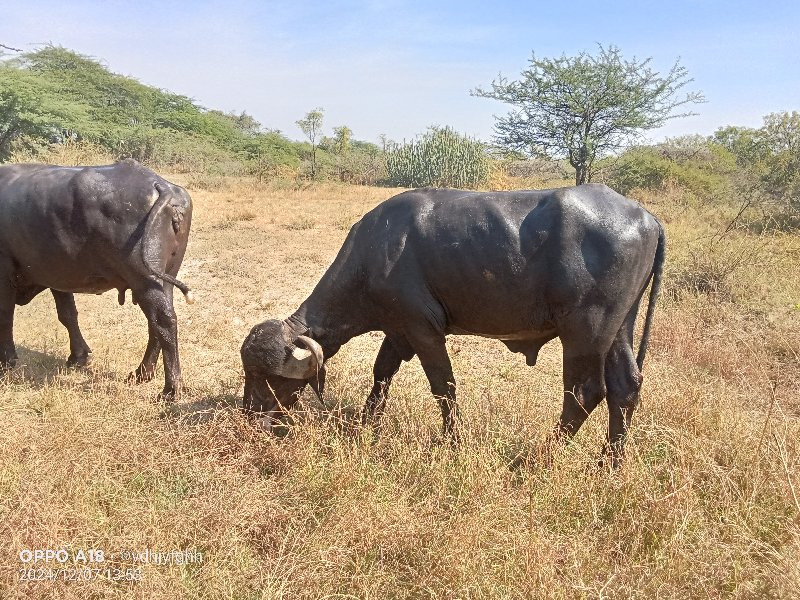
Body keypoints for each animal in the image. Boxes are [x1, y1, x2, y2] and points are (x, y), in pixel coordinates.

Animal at [0, 159, 193, 398]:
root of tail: (162, 186)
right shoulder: (58, 276)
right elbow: (68, 314)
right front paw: (78, 357)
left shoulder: (4, 273)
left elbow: (5, 316)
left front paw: (7, 362)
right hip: (165, 278)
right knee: (157, 322)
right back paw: (141, 373)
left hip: (144, 279)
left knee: (164, 320)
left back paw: (171, 389)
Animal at [241, 185, 664, 466]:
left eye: (268, 378)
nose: (249, 417)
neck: (377, 252)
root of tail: (648, 218)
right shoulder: (398, 331)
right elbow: (381, 375)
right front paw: (365, 425)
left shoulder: (423, 330)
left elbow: (443, 387)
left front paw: (452, 440)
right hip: (619, 327)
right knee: (624, 387)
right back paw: (609, 463)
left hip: (586, 329)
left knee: (585, 392)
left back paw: (537, 457)